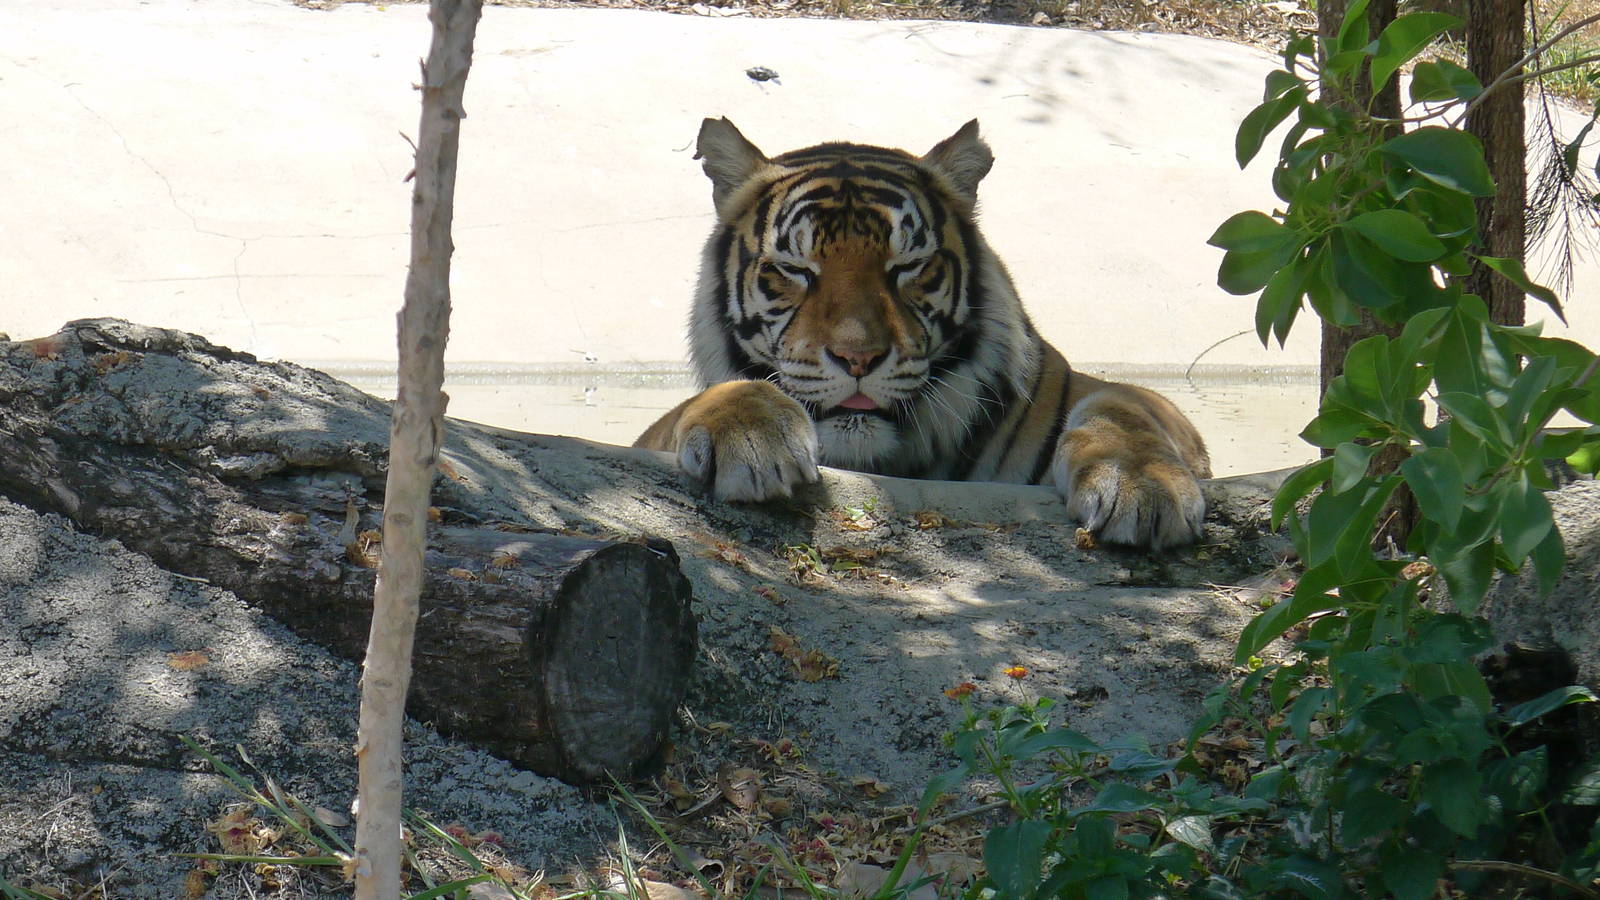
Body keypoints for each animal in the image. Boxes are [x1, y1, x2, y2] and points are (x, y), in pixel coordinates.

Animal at [635, 118, 1211, 550]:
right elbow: (718, 396)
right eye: (796, 270)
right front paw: (750, 438)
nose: (858, 358)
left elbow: (1121, 406)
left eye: (907, 266)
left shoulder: (1123, 398)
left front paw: (1142, 484)